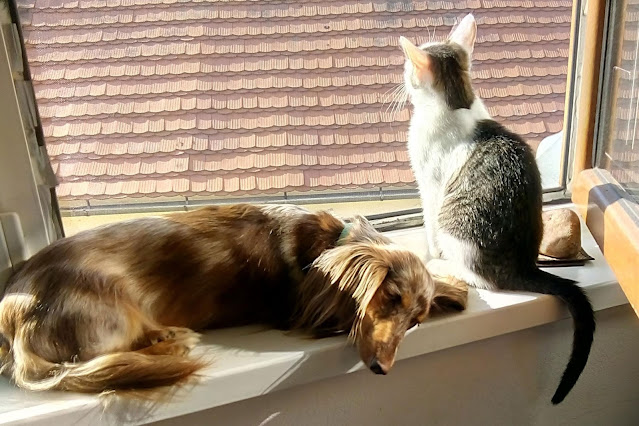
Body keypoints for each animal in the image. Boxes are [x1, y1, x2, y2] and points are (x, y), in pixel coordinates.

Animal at [0, 205, 470, 394]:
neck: (324, 243)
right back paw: (168, 340)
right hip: (115, 309)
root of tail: (17, 316)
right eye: (390, 297)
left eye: (416, 320)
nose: (381, 369)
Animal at [400, 15, 596, 404]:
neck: (455, 104)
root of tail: (523, 264)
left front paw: (430, 255)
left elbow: (428, 224)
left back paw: (446, 266)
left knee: (479, 276)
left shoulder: (430, 186)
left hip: (457, 225)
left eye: (407, 68)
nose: (402, 77)